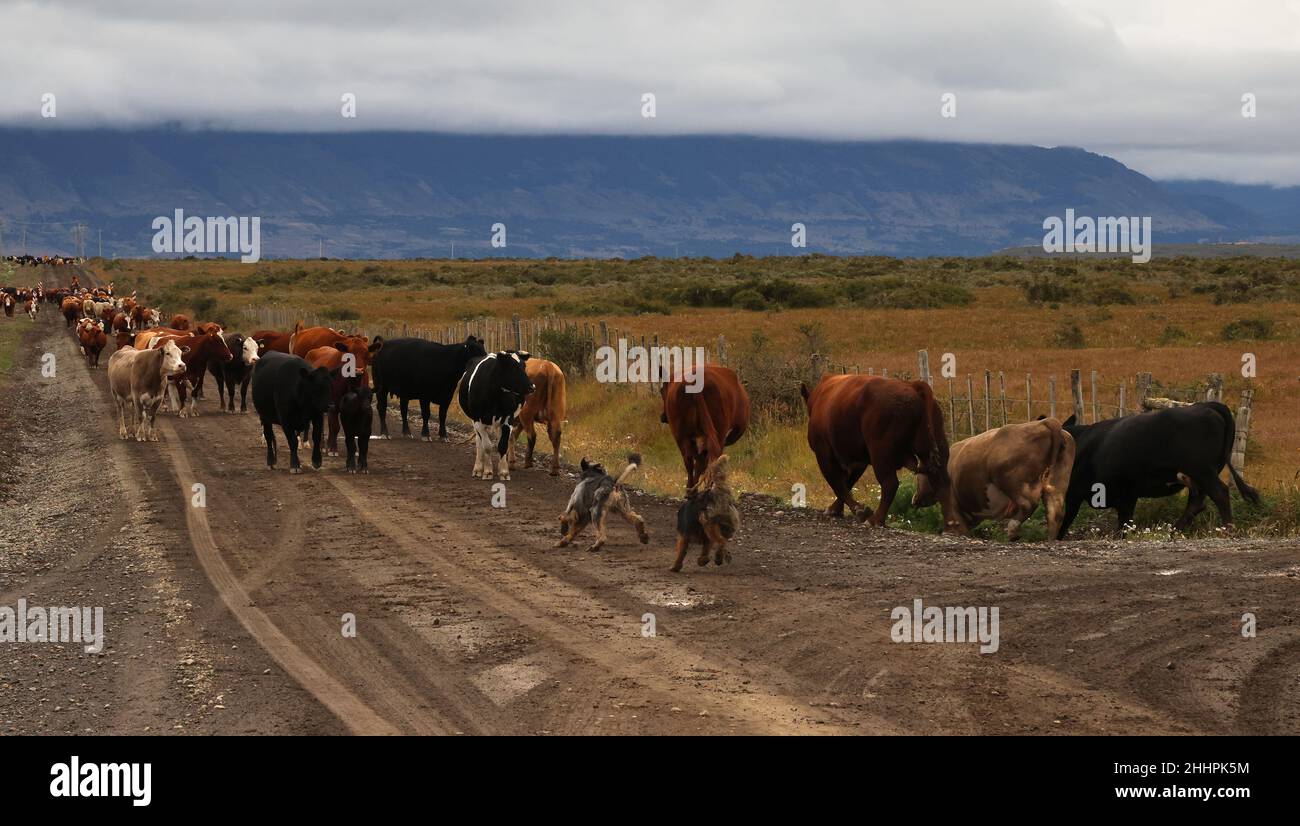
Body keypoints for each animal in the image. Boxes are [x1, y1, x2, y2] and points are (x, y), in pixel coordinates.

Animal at [460, 351, 535, 481]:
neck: (495, 394)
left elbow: (503, 445)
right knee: (479, 442)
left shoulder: (508, 419)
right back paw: (478, 468)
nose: (532, 387)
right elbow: (487, 446)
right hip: (474, 420)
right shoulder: (478, 420)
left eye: (524, 366)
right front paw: (487, 471)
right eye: (512, 367)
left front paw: (504, 472)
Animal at [795, 374, 961, 530]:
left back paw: (875, 519)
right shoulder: (858, 461)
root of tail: (912, 386)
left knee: (890, 483)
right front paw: (836, 509)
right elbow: (847, 483)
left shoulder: (824, 455)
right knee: (941, 481)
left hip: (880, 455)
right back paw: (951, 523)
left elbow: (838, 484)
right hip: (934, 449)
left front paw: (858, 510)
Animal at [909, 416, 1071, 538]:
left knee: (1028, 503)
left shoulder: (953, 503)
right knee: (1055, 513)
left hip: (1009, 480)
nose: (914, 498)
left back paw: (1012, 530)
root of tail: (1046, 422)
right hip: (1056, 485)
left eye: (919, 475)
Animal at [1055, 403, 1258, 538]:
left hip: (1202, 470)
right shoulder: (1128, 493)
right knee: (1197, 501)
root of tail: (1205, 405)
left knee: (1220, 493)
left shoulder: (1075, 491)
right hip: (1198, 474)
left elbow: (1066, 518)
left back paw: (1227, 530)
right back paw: (1174, 530)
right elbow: (1125, 521)